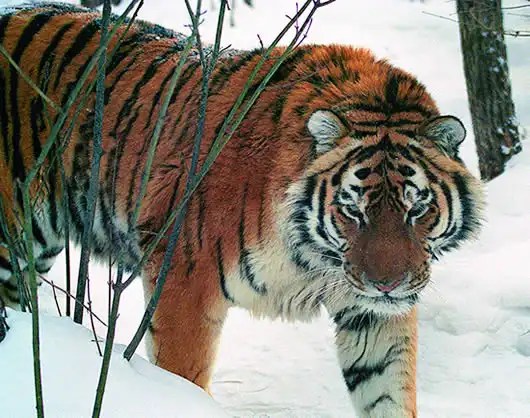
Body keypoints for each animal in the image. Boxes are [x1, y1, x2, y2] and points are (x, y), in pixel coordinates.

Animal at [0, 3, 484, 417]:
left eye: (416, 209)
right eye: (353, 210)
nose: (386, 285)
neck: (313, 259)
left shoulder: (369, 313)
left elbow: (388, 389)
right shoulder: (184, 281)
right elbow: (183, 376)